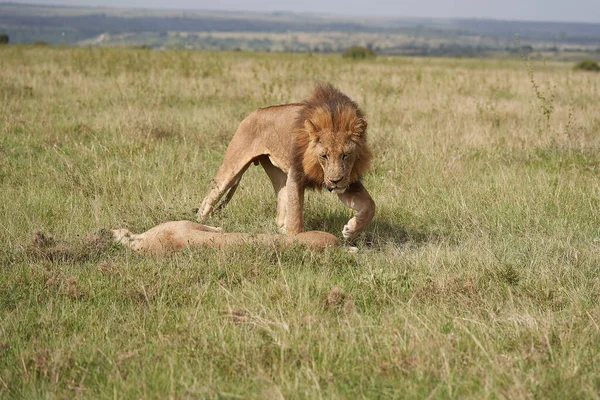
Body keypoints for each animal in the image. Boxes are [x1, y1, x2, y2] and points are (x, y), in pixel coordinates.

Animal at [197, 82, 376, 239]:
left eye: (346, 155)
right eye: (324, 156)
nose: (335, 181)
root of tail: (254, 113)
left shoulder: (348, 181)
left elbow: (370, 205)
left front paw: (351, 230)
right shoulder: (296, 175)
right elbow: (296, 214)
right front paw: (297, 239)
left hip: (279, 175)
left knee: (282, 206)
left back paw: (282, 231)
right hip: (232, 167)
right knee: (209, 198)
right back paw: (199, 224)